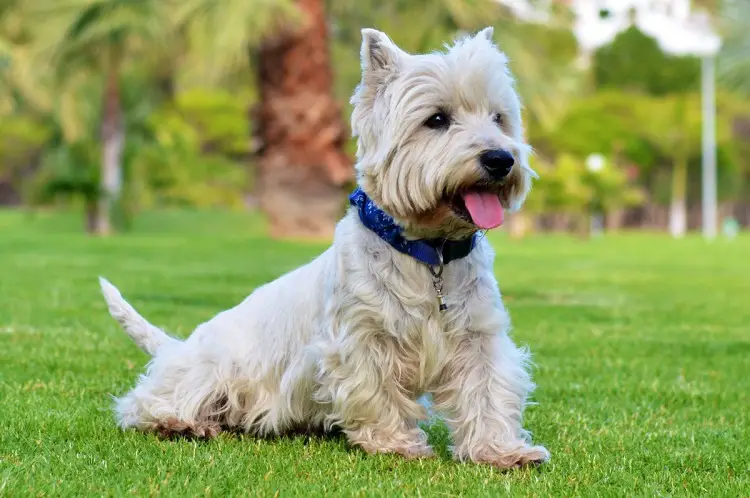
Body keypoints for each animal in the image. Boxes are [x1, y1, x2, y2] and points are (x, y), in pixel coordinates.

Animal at [100, 27, 548, 468]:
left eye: (499, 117)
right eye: (437, 119)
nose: (501, 159)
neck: (429, 253)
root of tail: (177, 348)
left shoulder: (478, 335)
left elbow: (487, 390)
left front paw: (502, 450)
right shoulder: (361, 337)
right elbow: (377, 392)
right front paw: (395, 444)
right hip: (210, 369)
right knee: (144, 401)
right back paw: (179, 423)